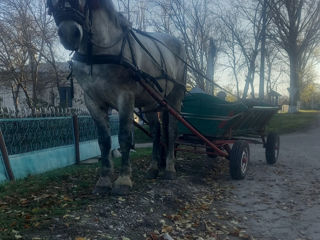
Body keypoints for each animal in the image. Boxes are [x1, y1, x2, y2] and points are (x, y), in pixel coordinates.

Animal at [48, 0, 188, 195]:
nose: (69, 34)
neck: (99, 53)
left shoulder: (125, 98)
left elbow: (124, 137)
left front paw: (123, 180)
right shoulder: (92, 101)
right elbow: (104, 141)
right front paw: (104, 180)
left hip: (175, 99)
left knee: (171, 131)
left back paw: (169, 168)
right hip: (151, 103)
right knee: (156, 131)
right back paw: (153, 168)